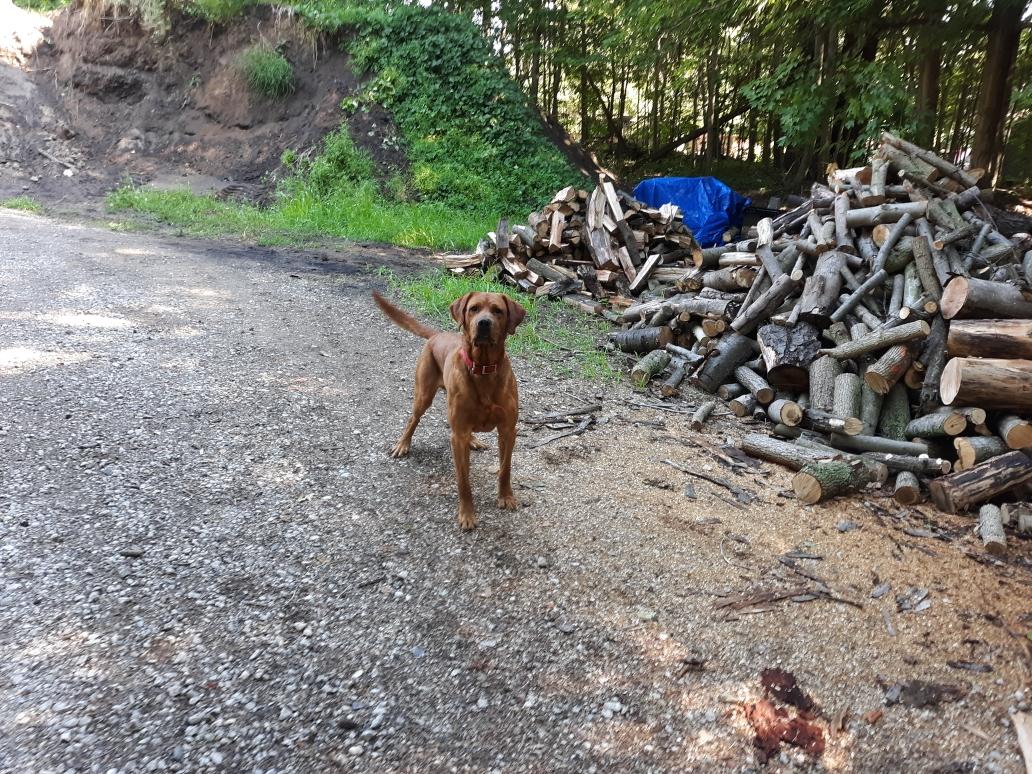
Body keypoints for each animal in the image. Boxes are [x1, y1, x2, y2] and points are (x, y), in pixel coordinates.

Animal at [373, 291, 528, 532]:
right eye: (473, 309)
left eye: (498, 311)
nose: (484, 323)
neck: (483, 368)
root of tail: (438, 334)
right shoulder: (457, 437)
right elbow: (463, 480)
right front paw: (467, 514)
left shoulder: (507, 430)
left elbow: (505, 468)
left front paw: (506, 497)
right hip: (423, 396)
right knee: (412, 420)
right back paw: (402, 444)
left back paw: (474, 440)